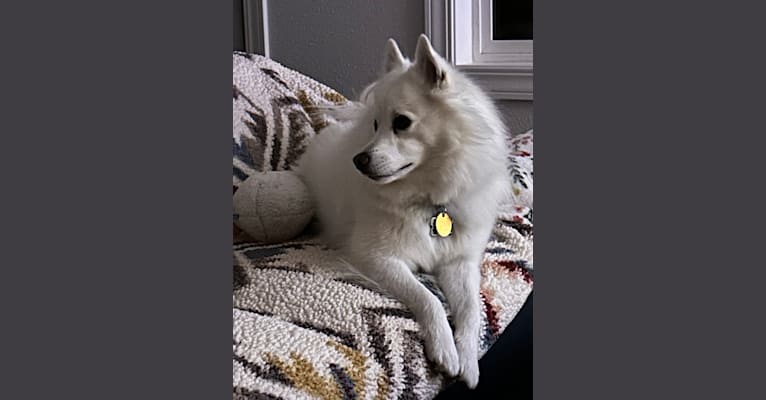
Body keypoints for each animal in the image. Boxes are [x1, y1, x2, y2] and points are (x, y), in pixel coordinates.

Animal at [296, 35, 512, 388]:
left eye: (401, 123)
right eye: (375, 125)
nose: (359, 161)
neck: (429, 201)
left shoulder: (459, 262)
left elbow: (471, 310)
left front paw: (467, 357)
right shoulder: (377, 258)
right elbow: (428, 298)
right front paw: (445, 348)